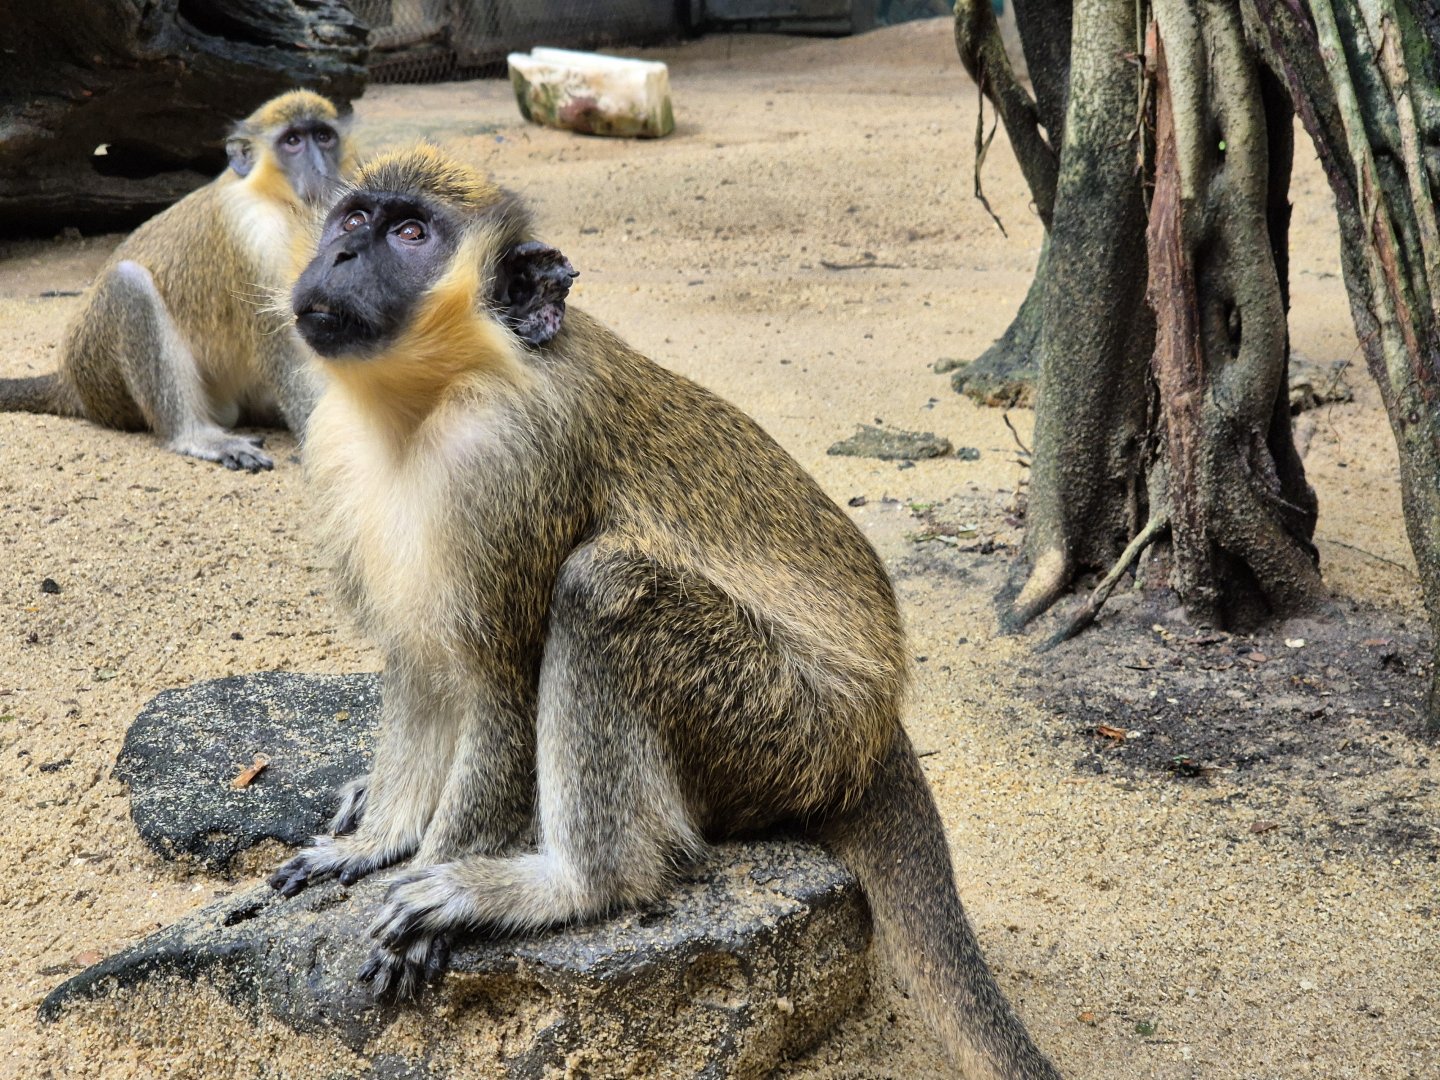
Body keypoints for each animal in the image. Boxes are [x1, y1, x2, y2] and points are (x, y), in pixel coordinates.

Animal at [0, 90, 353, 471]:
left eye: (323, 137)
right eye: (292, 141)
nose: (320, 170)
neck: (280, 202)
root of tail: (70, 381)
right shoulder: (255, 234)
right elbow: (282, 343)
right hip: (104, 382)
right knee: (127, 284)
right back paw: (194, 436)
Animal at [268, 145, 1062, 1080]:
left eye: (412, 235)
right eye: (355, 218)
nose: (340, 256)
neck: (434, 395)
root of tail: (876, 730)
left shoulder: (512, 464)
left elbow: (498, 680)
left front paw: (442, 866)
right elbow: (425, 668)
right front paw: (376, 841)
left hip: (788, 727)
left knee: (600, 585)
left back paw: (573, 886)